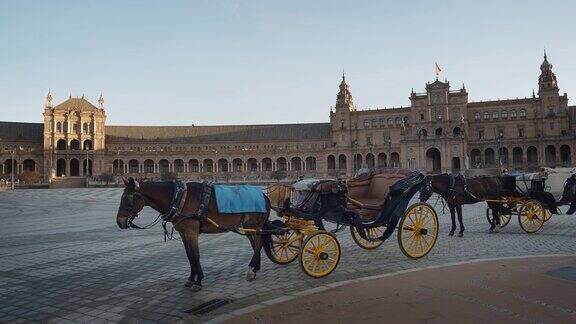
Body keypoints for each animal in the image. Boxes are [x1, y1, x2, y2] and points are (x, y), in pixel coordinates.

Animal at [117, 177, 272, 292]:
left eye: (127, 199)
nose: (119, 222)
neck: (179, 198)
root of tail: (264, 196)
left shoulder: (191, 232)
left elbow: (196, 255)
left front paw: (198, 281)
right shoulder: (183, 233)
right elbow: (189, 255)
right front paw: (191, 278)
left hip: (253, 224)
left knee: (258, 243)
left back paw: (251, 270)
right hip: (247, 227)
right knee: (255, 244)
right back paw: (255, 268)